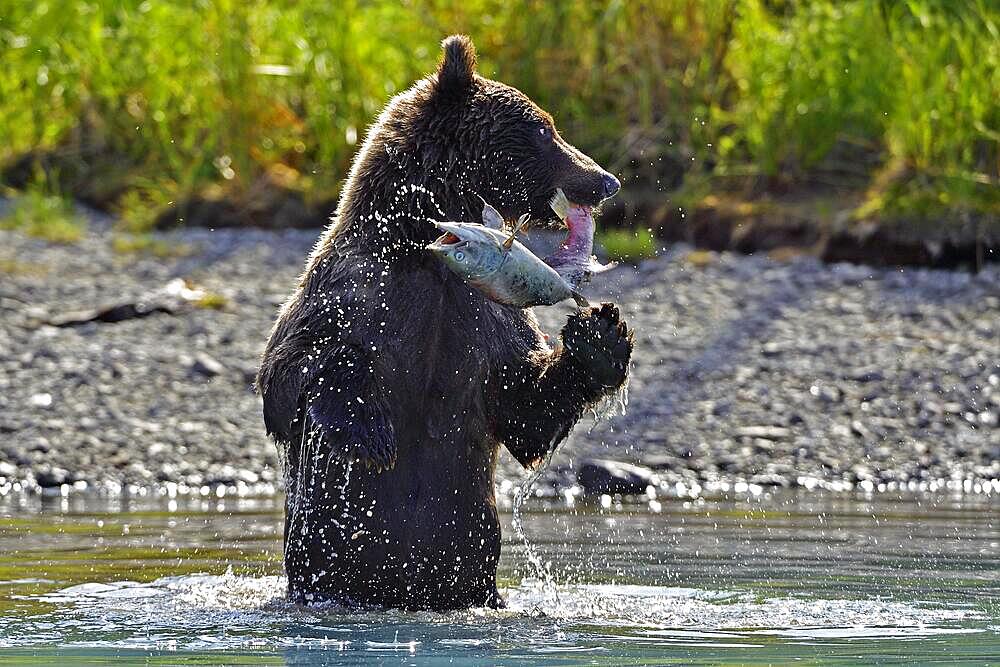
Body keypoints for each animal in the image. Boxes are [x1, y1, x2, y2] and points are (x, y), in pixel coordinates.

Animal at [258, 35, 632, 612]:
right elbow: (291, 371)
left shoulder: (486, 315)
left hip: (472, 573)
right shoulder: (352, 288)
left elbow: (524, 407)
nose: (605, 180)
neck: (426, 249)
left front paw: (600, 336)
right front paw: (371, 435)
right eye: (544, 128)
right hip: (324, 569)